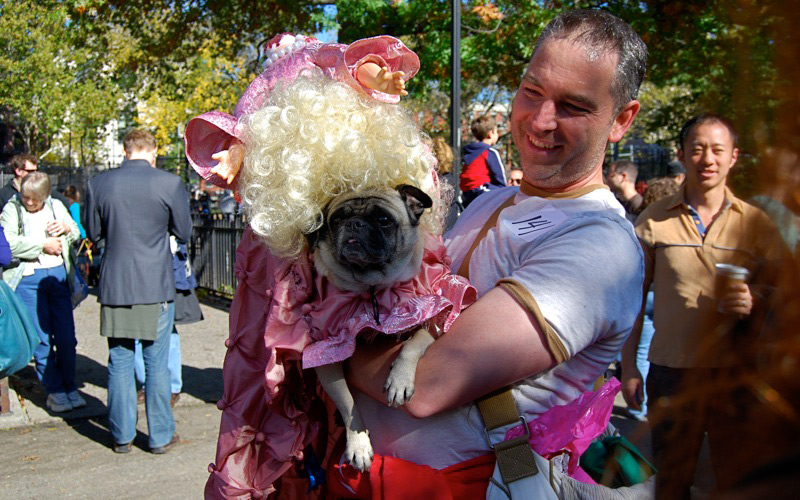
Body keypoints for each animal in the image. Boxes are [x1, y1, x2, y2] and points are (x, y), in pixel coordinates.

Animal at [312, 185, 438, 472]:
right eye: (337, 219)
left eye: (383, 220)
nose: (354, 223)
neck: (372, 286)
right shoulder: (326, 355)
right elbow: (347, 402)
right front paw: (358, 444)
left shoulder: (430, 321)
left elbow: (414, 342)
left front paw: (399, 380)